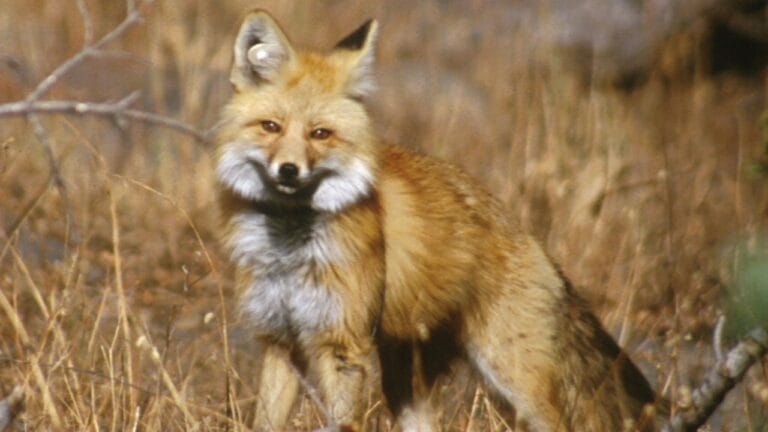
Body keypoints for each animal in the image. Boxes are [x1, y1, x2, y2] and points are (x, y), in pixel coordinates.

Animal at [215, 10, 661, 432]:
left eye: (320, 134)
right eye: (271, 127)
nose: (289, 171)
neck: (288, 250)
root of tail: (529, 238)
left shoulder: (343, 345)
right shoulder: (280, 340)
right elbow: (265, 421)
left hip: (514, 380)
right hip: (406, 382)